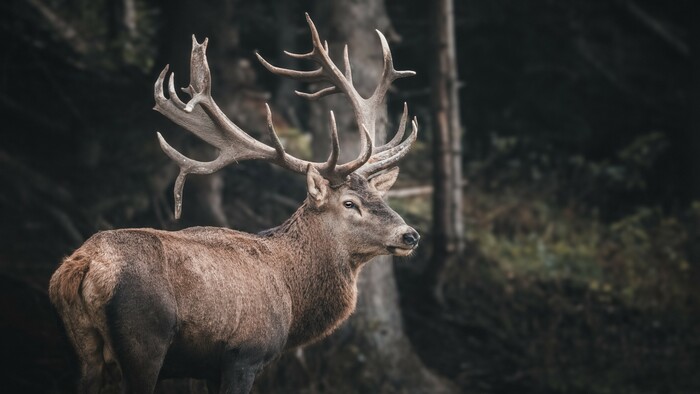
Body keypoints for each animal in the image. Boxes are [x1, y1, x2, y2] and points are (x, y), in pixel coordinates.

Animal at [50, 13, 422, 394]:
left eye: (379, 196)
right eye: (349, 203)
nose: (410, 235)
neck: (292, 298)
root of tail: (83, 266)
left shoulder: (204, 368)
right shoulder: (245, 354)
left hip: (84, 350)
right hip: (144, 341)